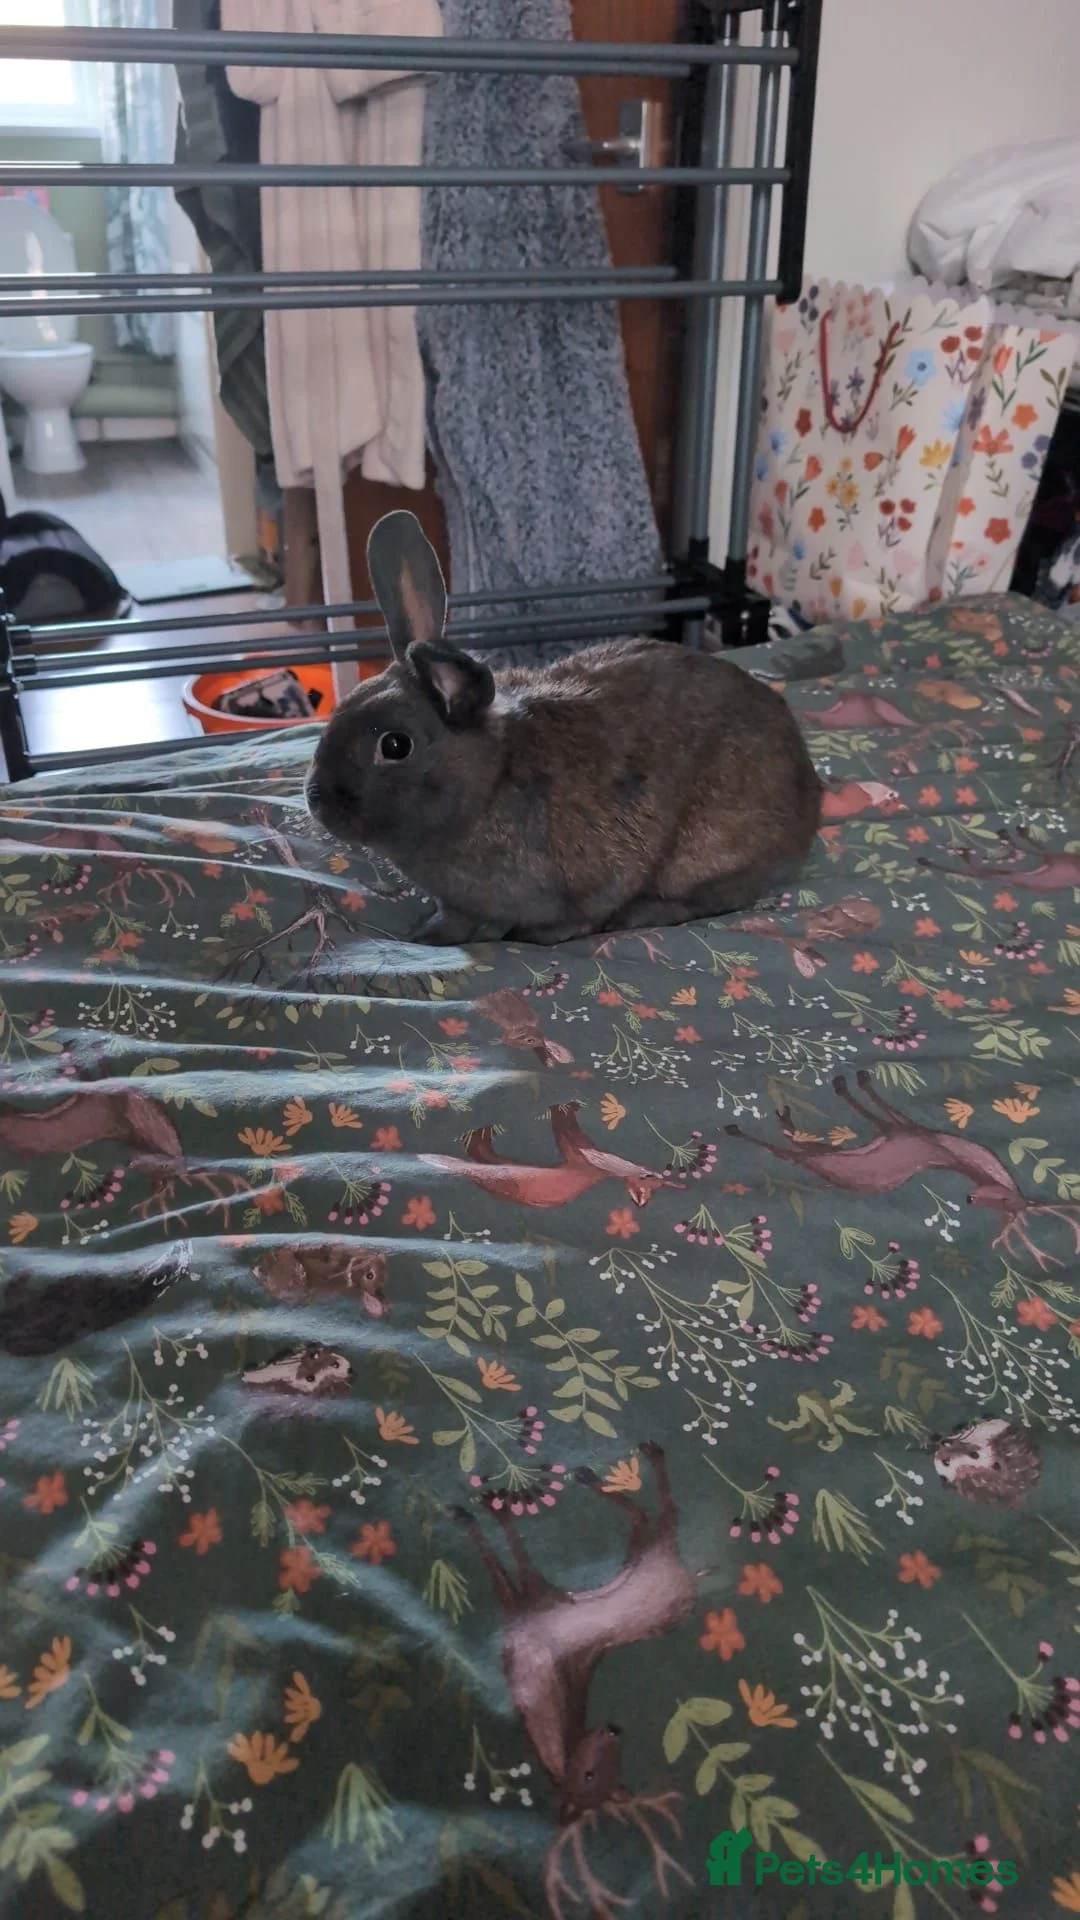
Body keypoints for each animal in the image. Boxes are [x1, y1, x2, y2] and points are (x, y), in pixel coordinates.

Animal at [305, 511, 822, 945]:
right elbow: (453, 920)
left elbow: (574, 916)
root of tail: (809, 799)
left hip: (708, 851)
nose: (315, 800)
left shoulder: (588, 880)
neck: (488, 781)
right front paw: (426, 937)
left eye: (395, 745)